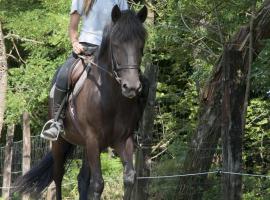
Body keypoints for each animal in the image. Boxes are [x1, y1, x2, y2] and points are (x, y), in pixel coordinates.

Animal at [13, 4, 148, 200]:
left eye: (141, 44)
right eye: (116, 44)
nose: (131, 87)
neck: (110, 99)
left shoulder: (122, 140)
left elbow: (129, 177)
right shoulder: (93, 139)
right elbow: (98, 183)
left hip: (85, 145)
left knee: (82, 178)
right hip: (60, 143)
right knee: (58, 176)